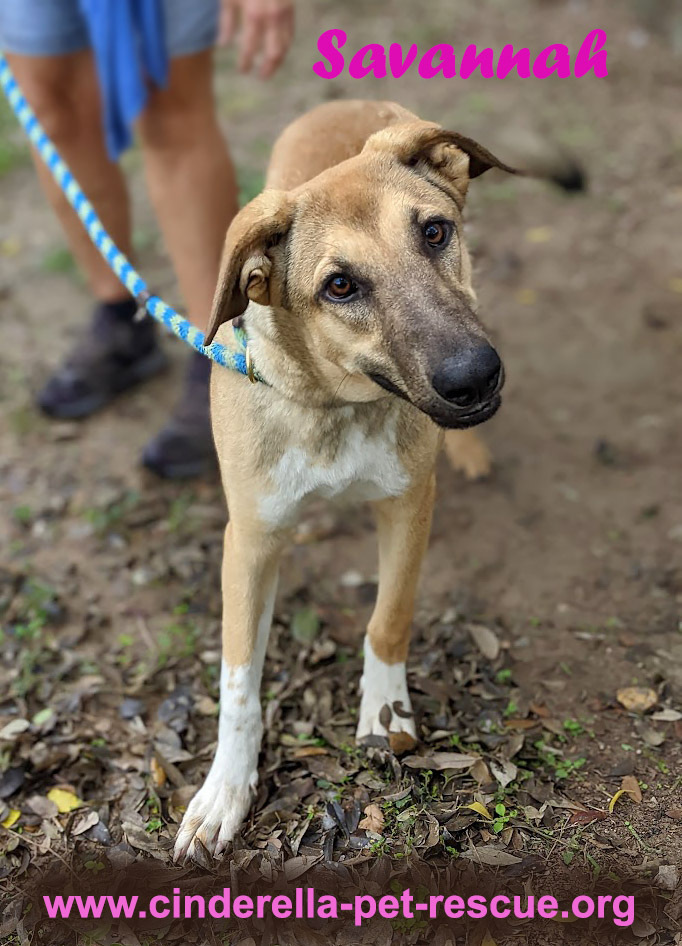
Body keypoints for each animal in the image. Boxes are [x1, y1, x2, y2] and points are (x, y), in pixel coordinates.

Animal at [171, 99, 520, 860]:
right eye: (340, 286)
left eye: (433, 231)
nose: (476, 378)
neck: (334, 404)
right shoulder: (249, 540)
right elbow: (237, 681)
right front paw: (223, 791)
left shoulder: (410, 504)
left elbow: (388, 619)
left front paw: (384, 713)